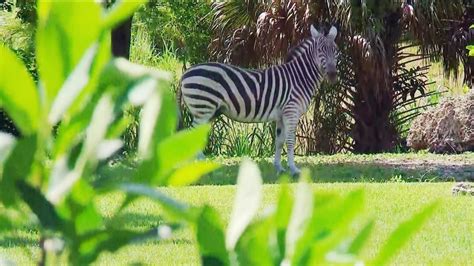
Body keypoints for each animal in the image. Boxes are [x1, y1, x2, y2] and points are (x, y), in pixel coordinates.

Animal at [180, 24, 338, 175]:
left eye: (336, 51)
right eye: (320, 50)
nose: (332, 74)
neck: (299, 77)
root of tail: (185, 74)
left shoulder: (282, 115)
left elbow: (279, 141)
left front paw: (279, 168)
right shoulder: (291, 111)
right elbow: (290, 141)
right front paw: (294, 169)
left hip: (208, 111)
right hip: (203, 108)